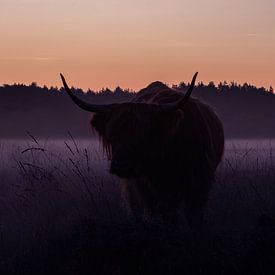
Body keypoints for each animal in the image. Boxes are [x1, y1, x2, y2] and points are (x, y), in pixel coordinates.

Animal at [60, 72, 224, 232]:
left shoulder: (200, 184)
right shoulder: (147, 188)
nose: (122, 165)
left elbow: (194, 218)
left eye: (143, 136)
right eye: (112, 136)